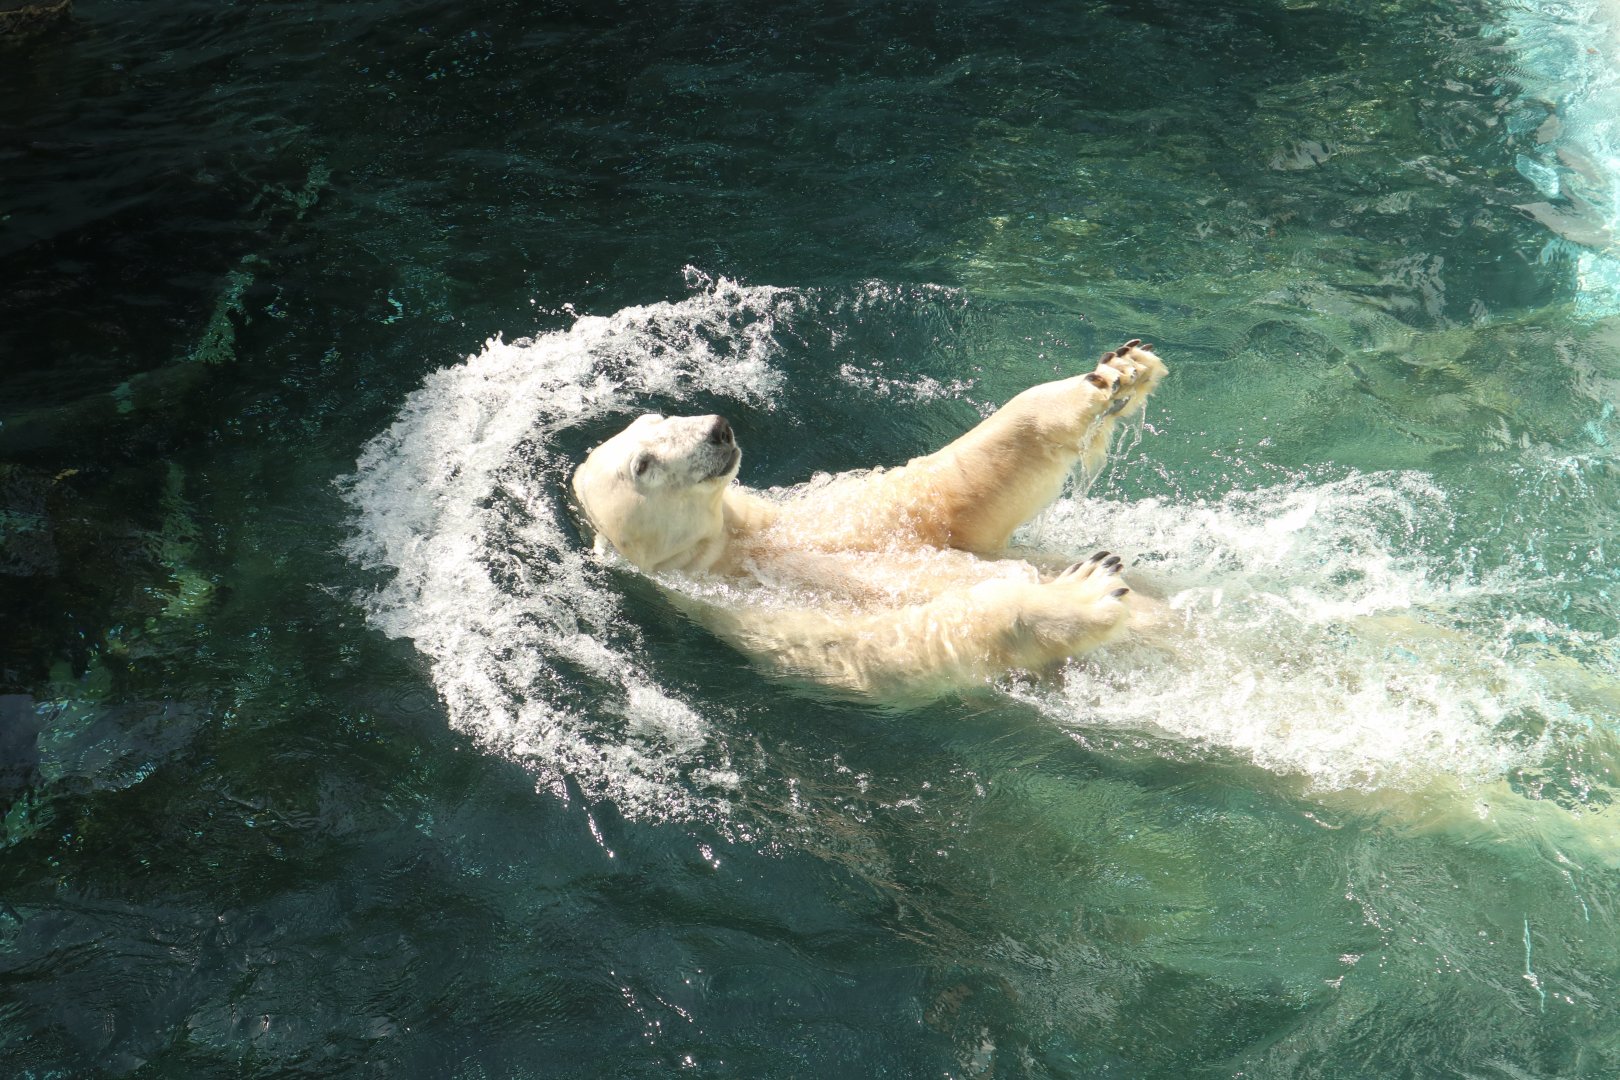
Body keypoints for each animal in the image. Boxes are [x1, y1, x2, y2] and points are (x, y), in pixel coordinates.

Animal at [571, 341, 1169, 701]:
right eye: (642, 465)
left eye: (660, 414)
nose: (718, 429)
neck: (735, 549)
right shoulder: (752, 614)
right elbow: (888, 649)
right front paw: (1082, 591)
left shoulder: (828, 516)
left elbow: (949, 494)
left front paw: (1115, 377)